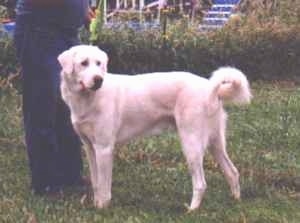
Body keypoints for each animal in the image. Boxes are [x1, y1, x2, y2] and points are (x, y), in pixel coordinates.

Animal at [58, 44, 251, 210]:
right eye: (84, 63)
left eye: (99, 64)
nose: (98, 80)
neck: (88, 99)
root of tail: (211, 88)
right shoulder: (90, 148)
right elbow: (96, 182)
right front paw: (96, 205)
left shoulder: (104, 149)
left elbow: (105, 186)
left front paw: (102, 209)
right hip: (215, 143)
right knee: (232, 172)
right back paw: (236, 201)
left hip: (191, 144)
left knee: (201, 183)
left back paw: (192, 210)